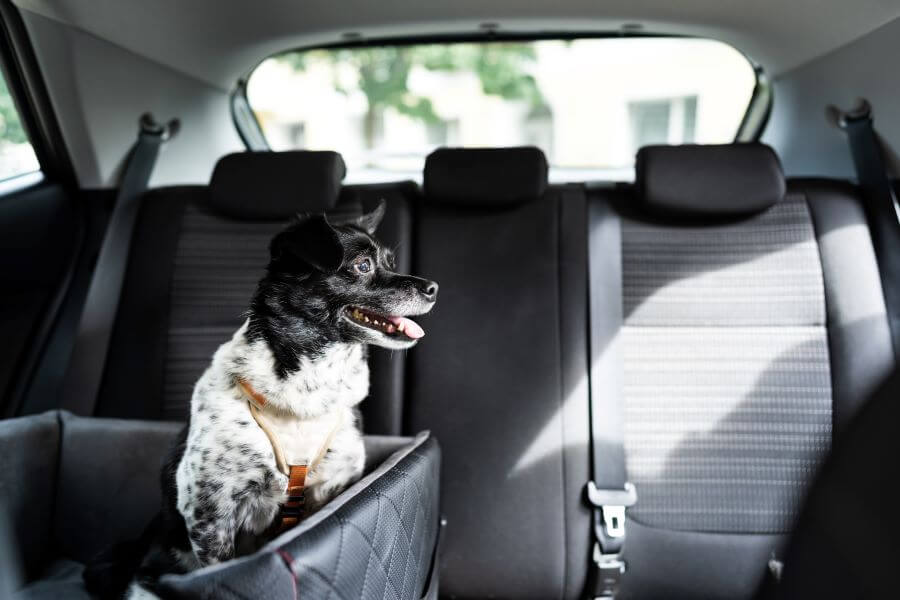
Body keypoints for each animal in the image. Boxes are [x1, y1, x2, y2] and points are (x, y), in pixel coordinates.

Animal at [86, 204, 438, 596]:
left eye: (390, 262)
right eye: (362, 265)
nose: (433, 288)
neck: (308, 393)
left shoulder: (330, 489)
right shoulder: (211, 515)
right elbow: (219, 570)